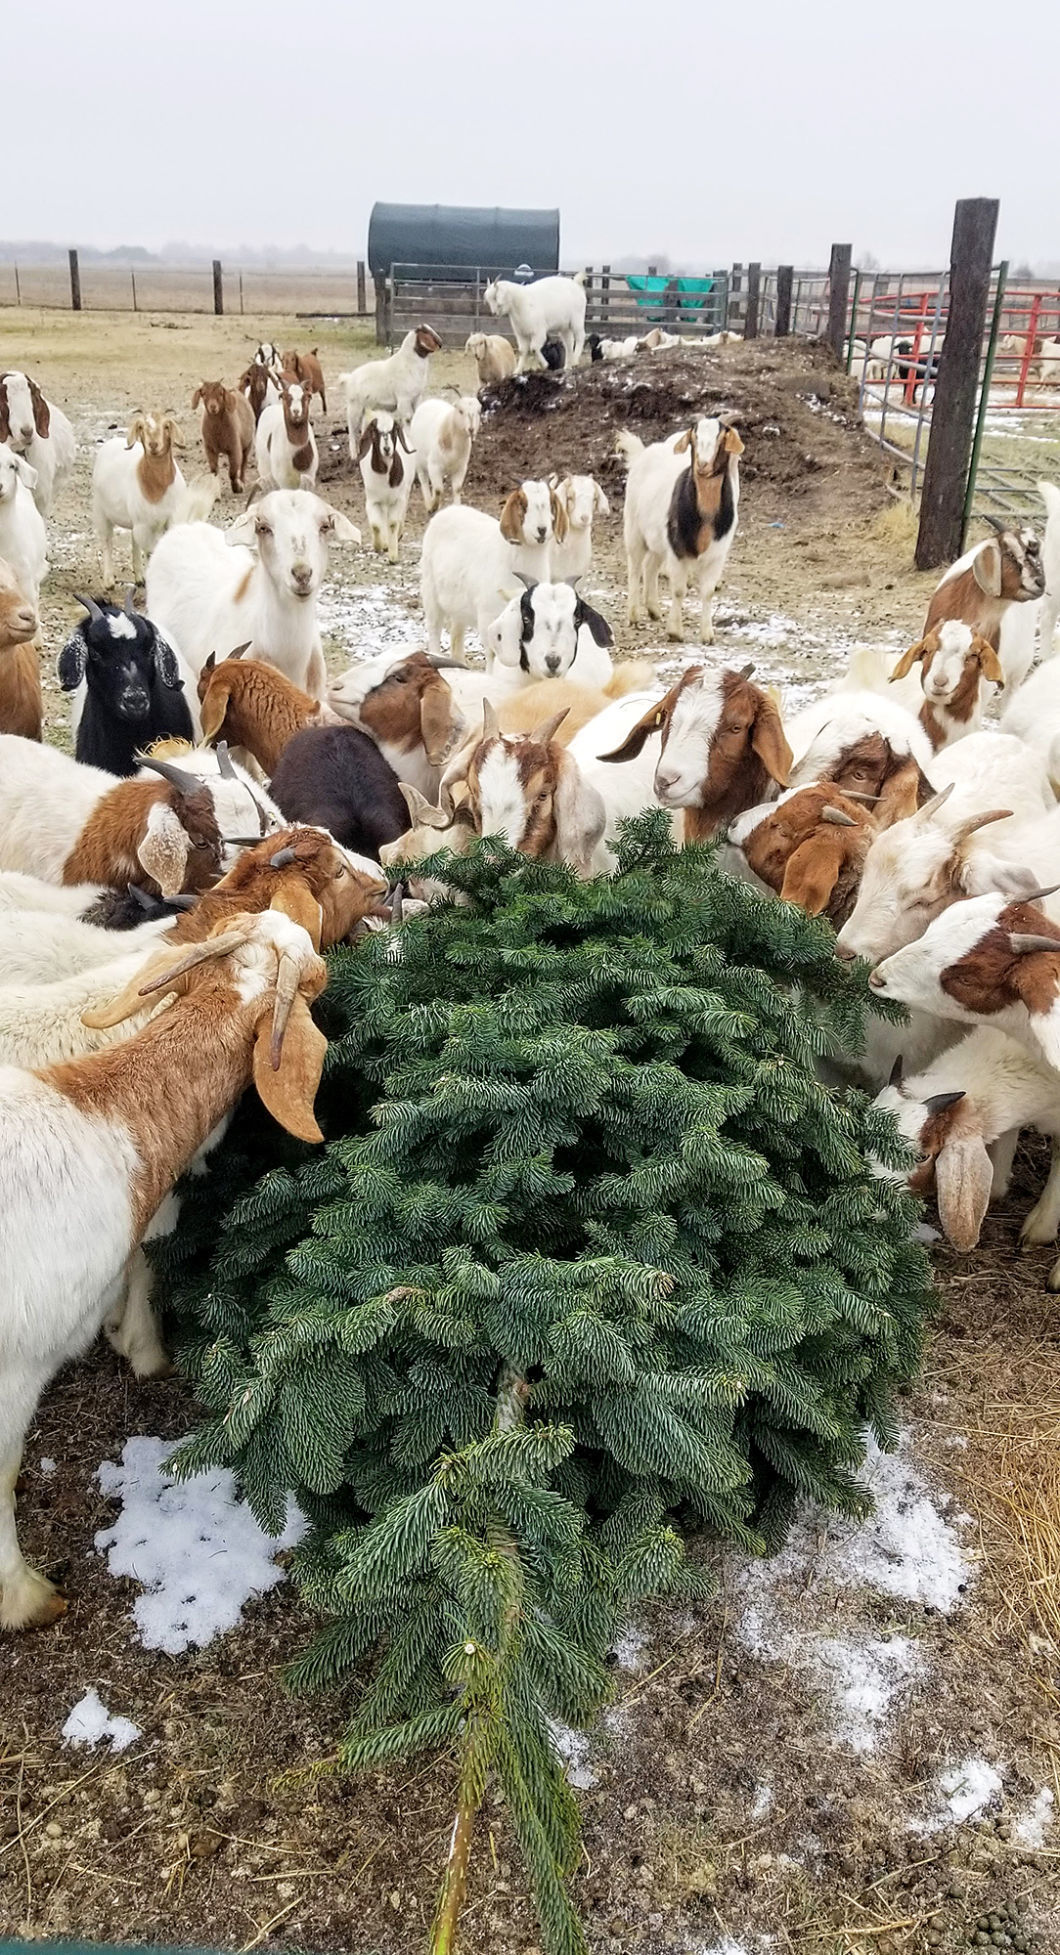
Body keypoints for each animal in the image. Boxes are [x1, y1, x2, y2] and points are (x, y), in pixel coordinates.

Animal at [92, 413, 187, 587]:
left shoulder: (171, 519)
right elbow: (150, 552)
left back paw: (139, 578)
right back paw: (109, 581)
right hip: (100, 510)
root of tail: (112, 442)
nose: (153, 445)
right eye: (141, 427)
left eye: (167, 426)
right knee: (107, 540)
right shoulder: (144, 525)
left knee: (133, 541)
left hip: (135, 521)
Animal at [356, 414, 415, 562]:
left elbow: (393, 523)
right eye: (375, 431)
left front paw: (393, 556)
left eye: (393, 430)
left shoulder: (398, 500)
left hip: (406, 492)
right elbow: (376, 525)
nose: (387, 449)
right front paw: (379, 545)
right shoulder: (372, 501)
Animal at [419, 484, 567, 662]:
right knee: (434, 629)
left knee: (456, 634)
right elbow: (492, 653)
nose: (542, 529)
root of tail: (447, 511)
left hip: (458, 603)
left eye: (550, 503)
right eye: (523, 505)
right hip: (430, 592)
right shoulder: (488, 615)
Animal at [619, 417, 743, 644]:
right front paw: (675, 632)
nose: (703, 465)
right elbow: (678, 590)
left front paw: (707, 635)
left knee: (650, 566)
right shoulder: (677, 551)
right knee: (635, 568)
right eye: (694, 436)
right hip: (633, 529)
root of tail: (643, 453)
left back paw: (653, 609)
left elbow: (708, 592)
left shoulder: (716, 555)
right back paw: (633, 615)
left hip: (658, 539)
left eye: (721, 437)